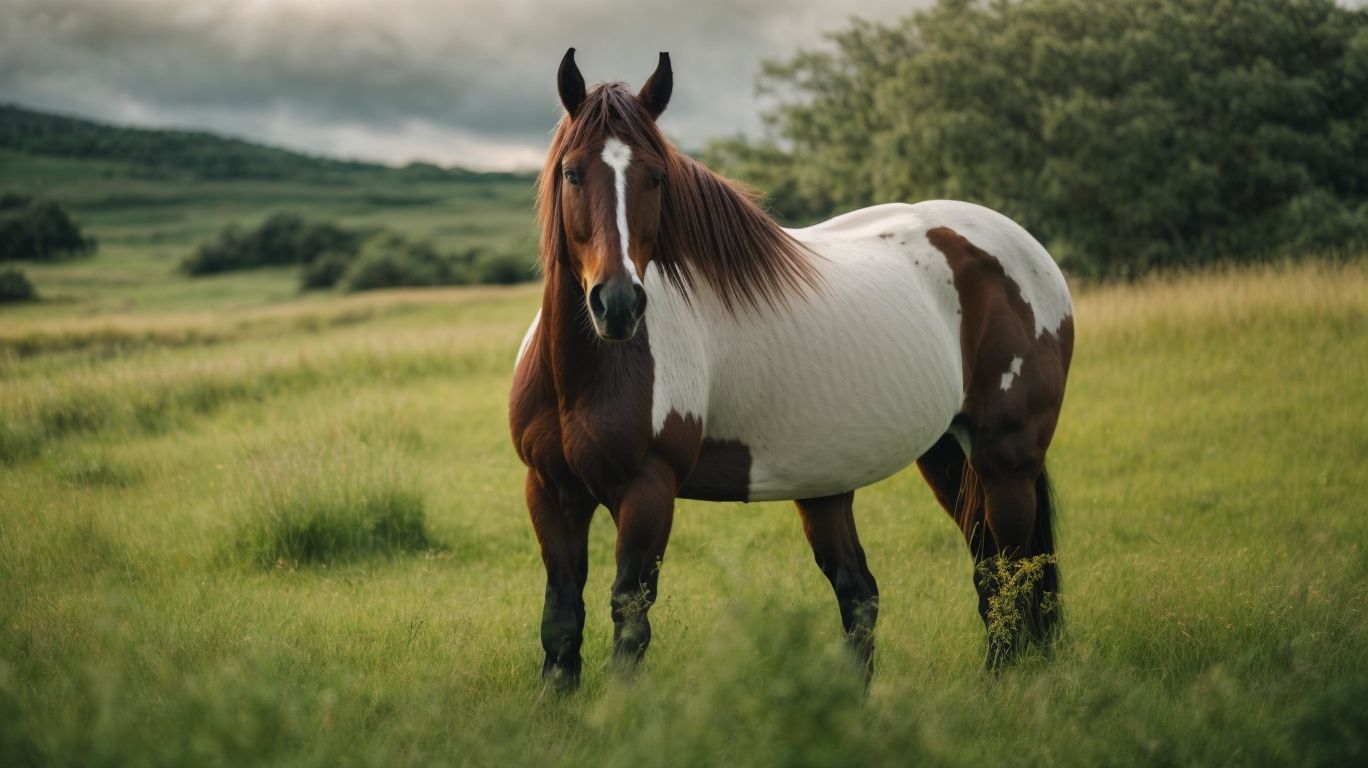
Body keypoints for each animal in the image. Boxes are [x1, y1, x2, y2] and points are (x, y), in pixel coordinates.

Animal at [509, 48, 1074, 690]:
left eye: (656, 176)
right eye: (572, 173)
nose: (618, 304)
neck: (580, 377)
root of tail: (1024, 250)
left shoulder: (647, 493)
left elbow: (630, 616)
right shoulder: (550, 490)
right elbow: (561, 621)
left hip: (1006, 459)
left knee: (1012, 573)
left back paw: (1002, 685)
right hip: (935, 457)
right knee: (909, 585)